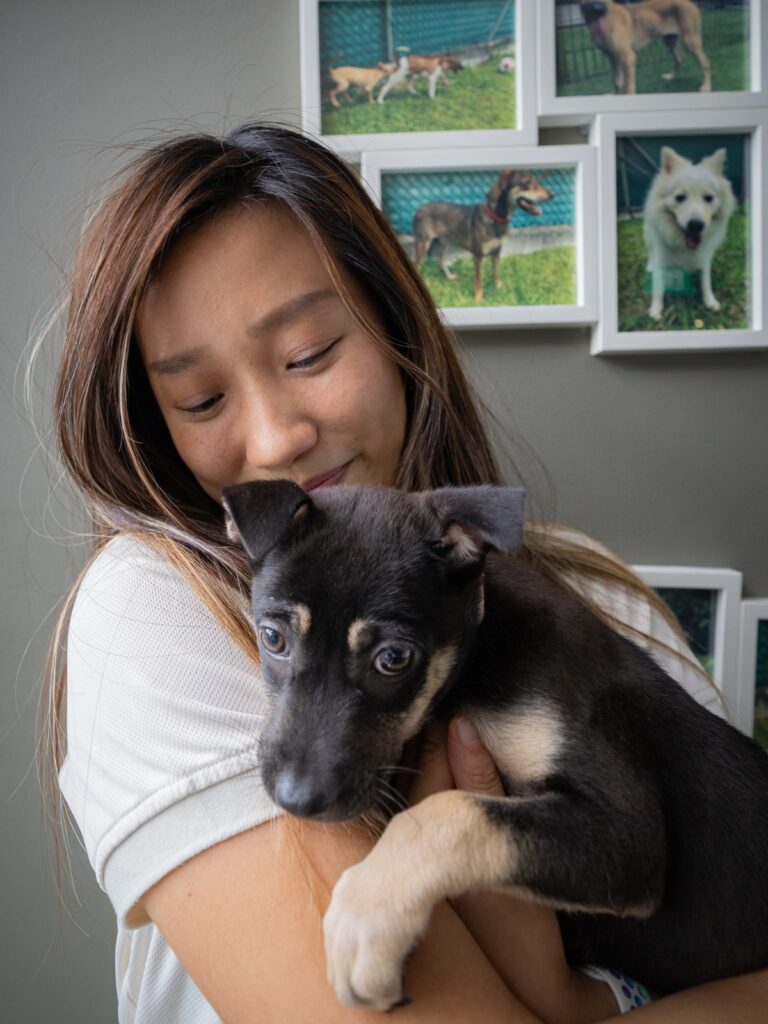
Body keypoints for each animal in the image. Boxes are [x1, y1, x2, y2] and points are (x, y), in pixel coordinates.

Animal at [222, 483, 768, 1011]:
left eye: (394, 658)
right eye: (273, 638)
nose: (297, 800)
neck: (479, 650)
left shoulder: (629, 836)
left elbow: (450, 814)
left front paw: (366, 918)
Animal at [415, 167, 552, 301]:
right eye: (527, 183)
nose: (552, 194)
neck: (496, 217)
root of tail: (419, 209)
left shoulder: (497, 252)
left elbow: (496, 272)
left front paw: (498, 286)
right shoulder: (478, 256)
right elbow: (479, 280)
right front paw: (479, 298)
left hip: (444, 242)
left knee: (440, 262)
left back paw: (450, 277)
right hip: (423, 244)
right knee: (418, 266)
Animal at [581, 0, 716, 95]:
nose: (600, 9)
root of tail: (689, 2)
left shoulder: (627, 57)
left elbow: (628, 86)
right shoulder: (612, 57)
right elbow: (616, 81)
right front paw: (614, 94)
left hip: (691, 40)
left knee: (705, 62)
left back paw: (706, 87)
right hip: (670, 41)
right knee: (679, 58)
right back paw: (672, 76)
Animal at [643, 146, 733, 317]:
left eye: (708, 198)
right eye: (680, 197)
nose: (696, 225)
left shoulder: (705, 256)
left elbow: (706, 281)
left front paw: (710, 302)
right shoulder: (660, 251)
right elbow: (658, 285)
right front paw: (656, 309)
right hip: (650, 237)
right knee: (650, 252)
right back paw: (650, 266)